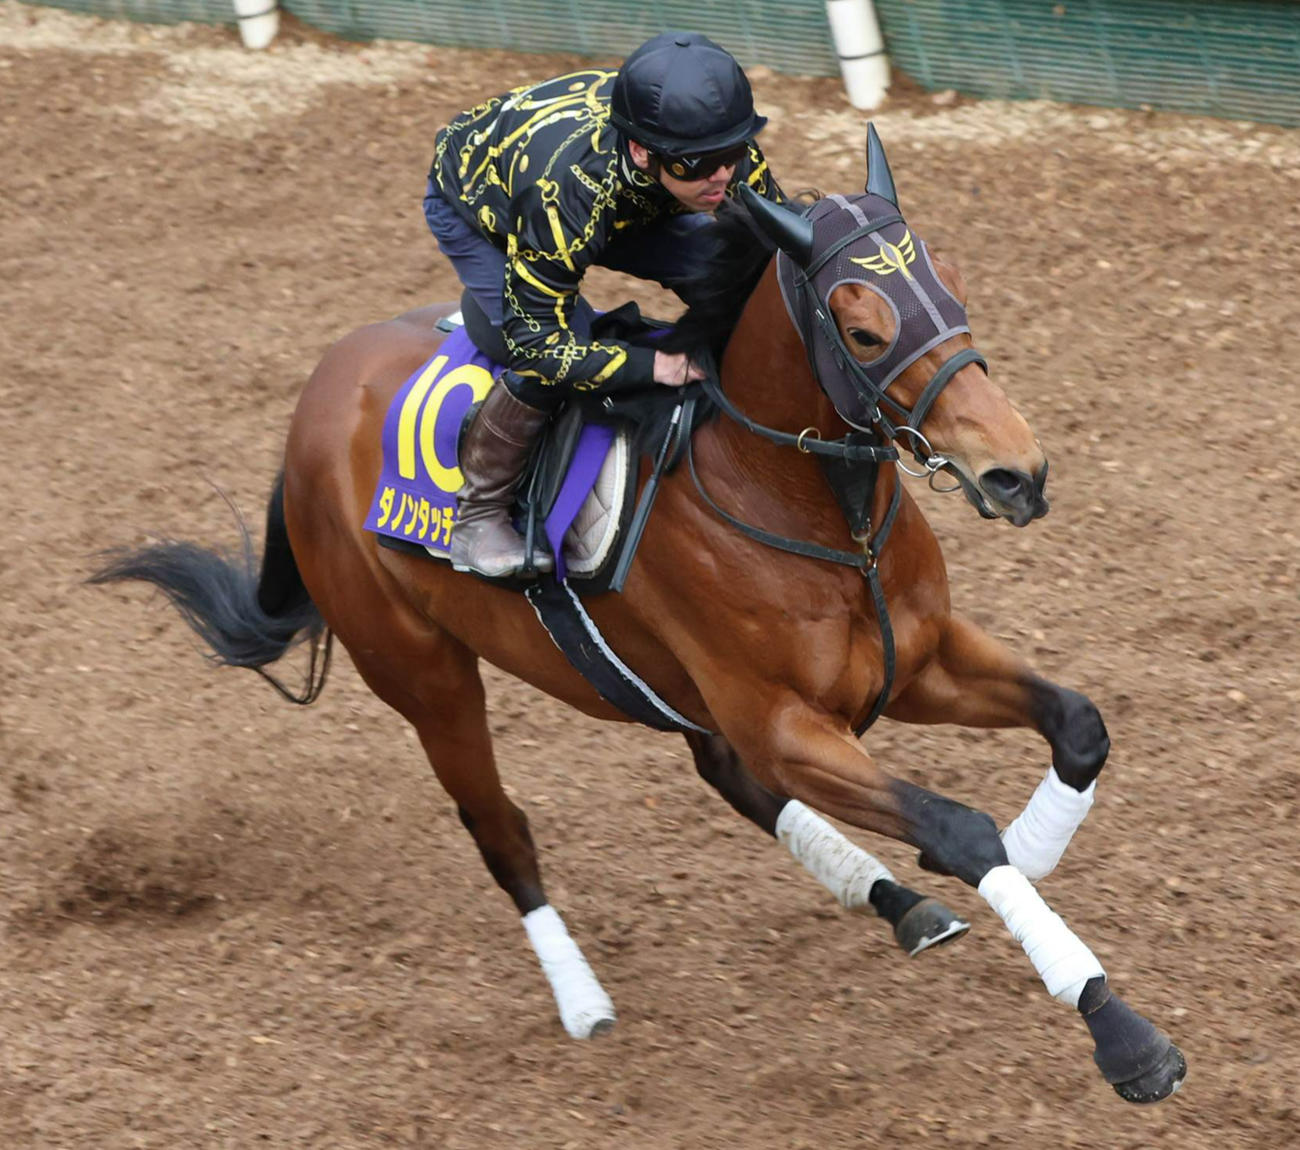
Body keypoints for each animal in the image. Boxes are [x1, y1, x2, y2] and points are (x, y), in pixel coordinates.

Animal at [92, 127, 1185, 1103]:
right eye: (865, 328)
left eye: (952, 290)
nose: (1017, 473)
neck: (796, 500)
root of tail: (314, 396)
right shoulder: (786, 721)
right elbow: (958, 828)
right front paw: (1121, 1033)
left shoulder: (912, 663)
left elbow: (1078, 723)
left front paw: (1036, 850)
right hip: (424, 674)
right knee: (503, 828)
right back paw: (583, 1000)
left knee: (723, 776)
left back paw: (896, 902)